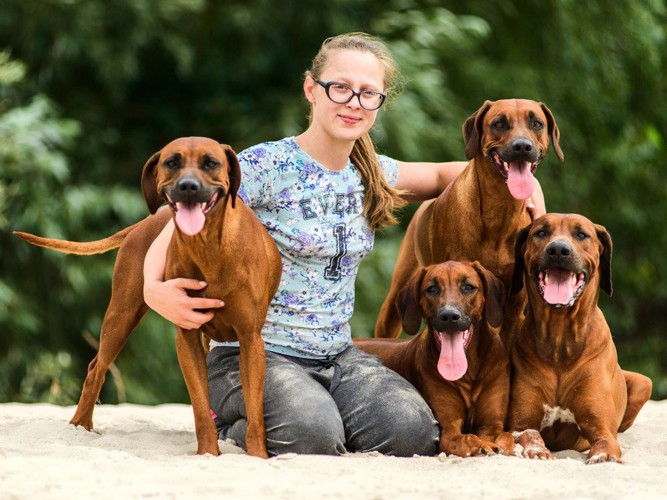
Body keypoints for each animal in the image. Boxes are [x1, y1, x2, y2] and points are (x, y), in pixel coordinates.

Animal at [15, 136, 282, 458]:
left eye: (211, 163)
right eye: (172, 162)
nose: (188, 186)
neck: (207, 248)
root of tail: (143, 222)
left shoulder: (250, 339)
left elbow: (254, 414)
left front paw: (257, 457)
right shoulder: (187, 338)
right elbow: (201, 410)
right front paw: (208, 453)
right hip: (121, 315)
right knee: (95, 369)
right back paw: (80, 426)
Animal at [358, 260, 516, 458]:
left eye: (468, 287)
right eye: (432, 289)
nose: (449, 316)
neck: (469, 371)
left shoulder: (491, 424)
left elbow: (504, 435)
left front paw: (500, 444)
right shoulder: (449, 429)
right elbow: (468, 437)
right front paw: (481, 445)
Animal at [376, 99, 564, 350]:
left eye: (537, 123)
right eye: (499, 123)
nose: (522, 146)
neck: (500, 211)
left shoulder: (513, 305)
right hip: (396, 299)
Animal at [508, 213, 656, 462]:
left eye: (581, 234)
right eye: (541, 232)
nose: (558, 250)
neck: (560, 338)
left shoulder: (601, 426)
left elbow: (606, 441)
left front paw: (603, 456)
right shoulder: (520, 423)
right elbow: (528, 434)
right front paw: (537, 450)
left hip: (643, 383)